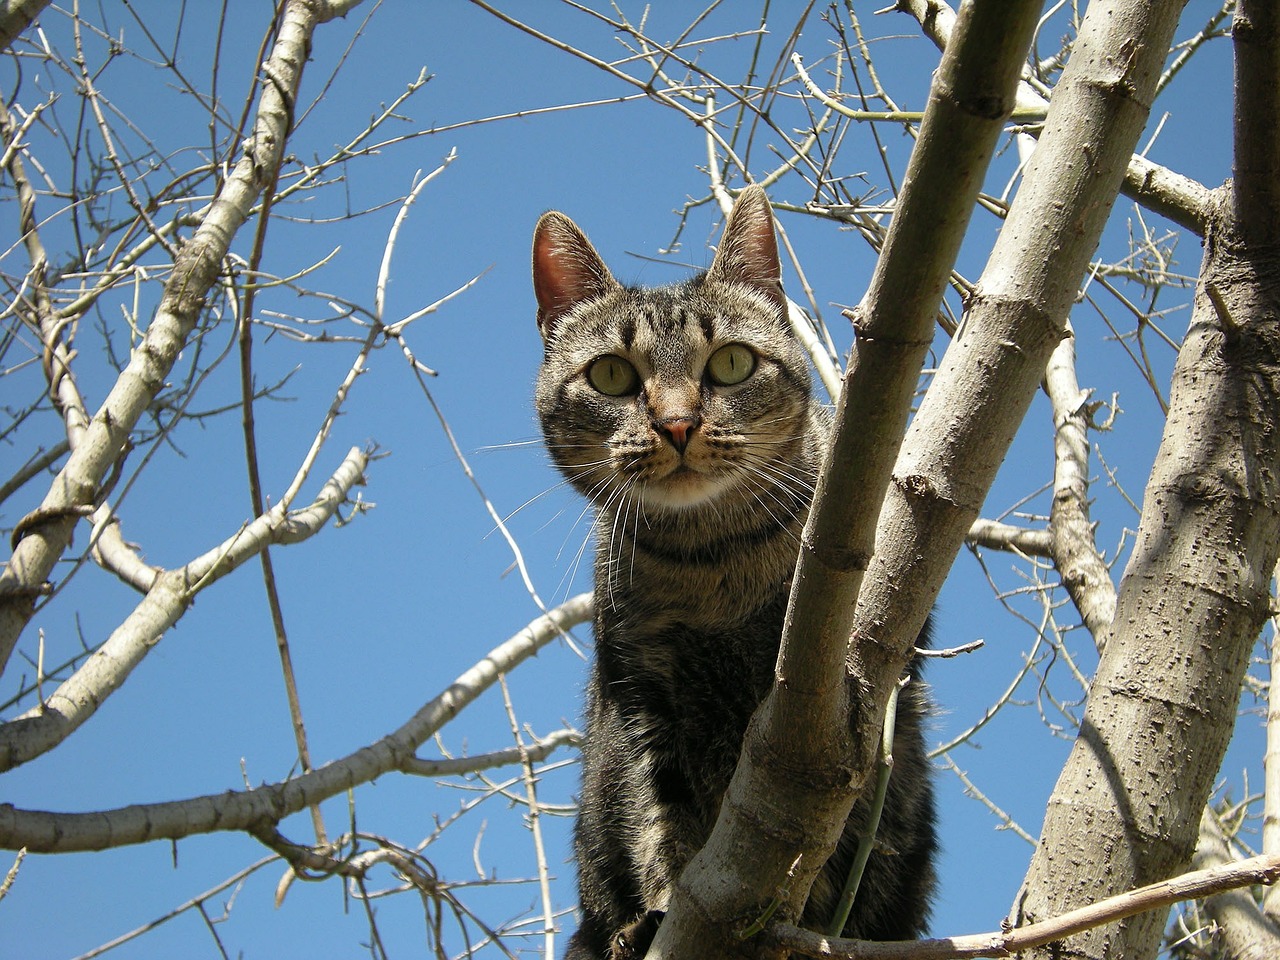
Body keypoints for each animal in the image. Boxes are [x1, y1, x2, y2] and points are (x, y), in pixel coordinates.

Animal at [529, 188, 942, 960]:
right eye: (611, 375)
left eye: (729, 364)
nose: (677, 424)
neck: (713, 561)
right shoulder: (641, 699)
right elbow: (659, 824)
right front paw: (659, 911)